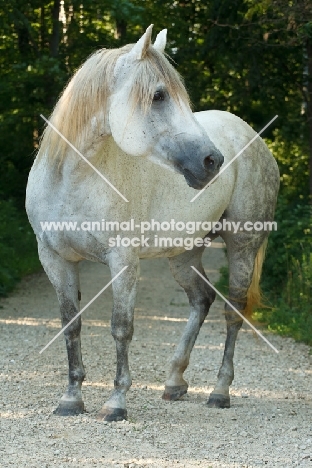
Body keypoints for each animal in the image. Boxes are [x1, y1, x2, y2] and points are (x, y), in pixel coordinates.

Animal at [25, 24, 280, 420]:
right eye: (158, 95)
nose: (212, 161)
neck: (72, 180)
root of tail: (251, 136)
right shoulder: (55, 259)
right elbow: (71, 325)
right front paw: (71, 398)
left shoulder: (123, 261)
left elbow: (121, 328)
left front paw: (116, 403)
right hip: (184, 254)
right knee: (201, 299)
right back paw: (174, 381)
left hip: (242, 247)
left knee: (232, 312)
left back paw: (220, 391)